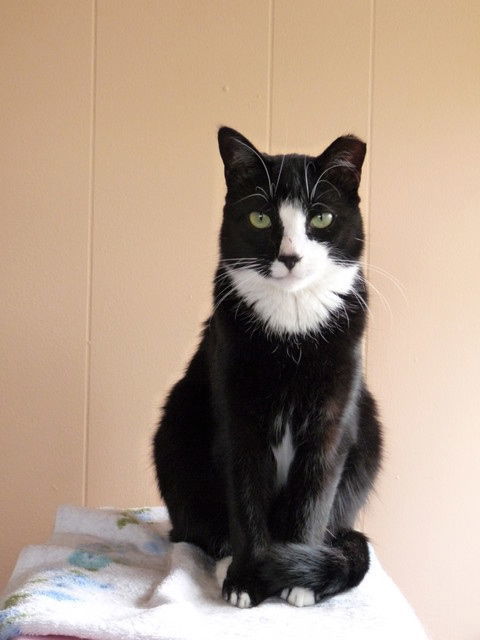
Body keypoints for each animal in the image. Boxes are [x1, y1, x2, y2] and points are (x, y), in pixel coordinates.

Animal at [153, 127, 382, 608]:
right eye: (260, 218)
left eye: (321, 218)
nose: (290, 257)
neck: (291, 324)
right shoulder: (237, 413)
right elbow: (245, 497)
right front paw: (246, 578)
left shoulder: (333, 417)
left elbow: (314, 495)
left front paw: (297, 580)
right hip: (177, 427)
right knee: (192, 529)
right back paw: (223, 556)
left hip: (368, 429)